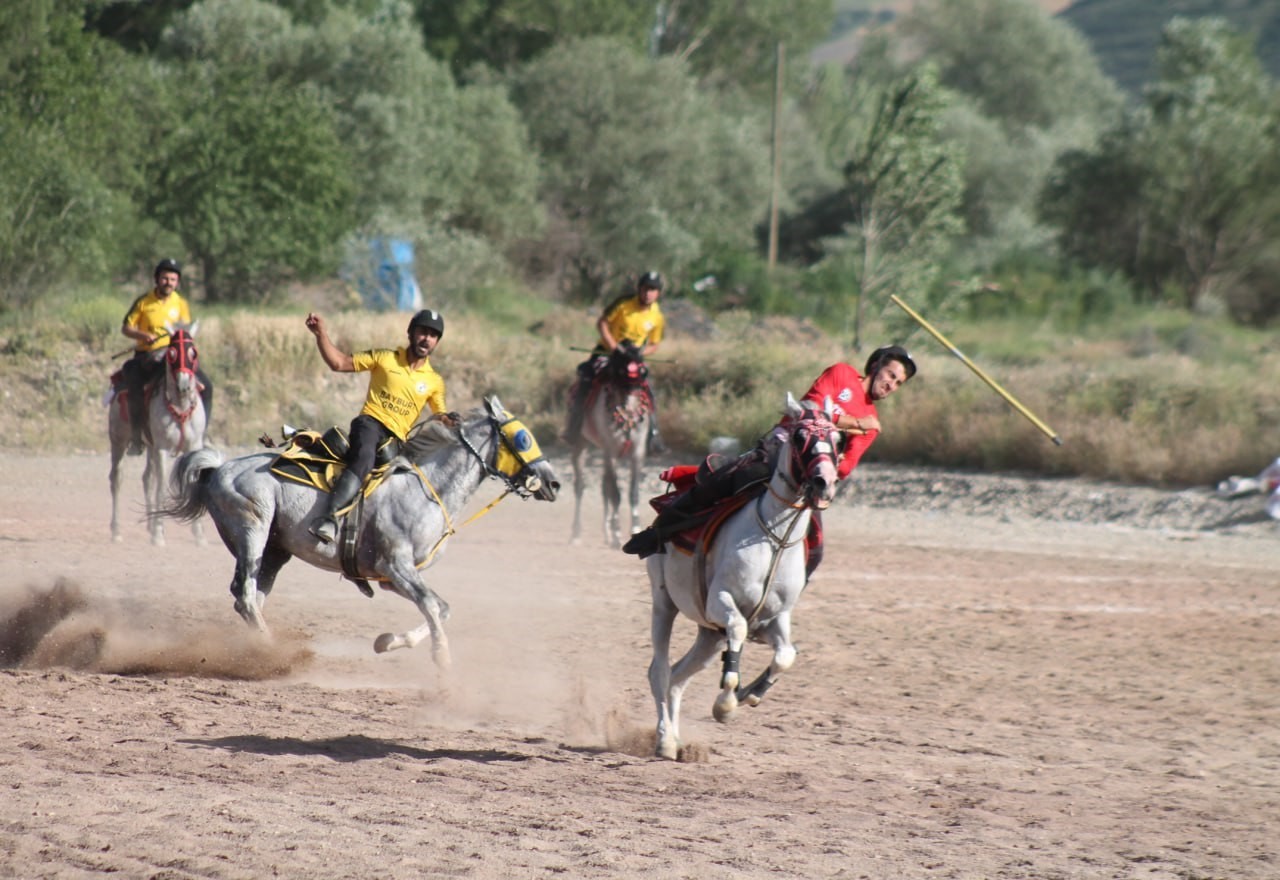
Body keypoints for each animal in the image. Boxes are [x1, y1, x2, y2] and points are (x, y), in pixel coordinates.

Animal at [107, 323, 206, 542]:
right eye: (172, 353)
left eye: (193, 352)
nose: (184, 385)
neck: (180, 407)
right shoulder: (162, 448)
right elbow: (161, 488)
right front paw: (159, 534)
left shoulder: (192, 446)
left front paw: (198, 534)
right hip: (119, 440)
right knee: (117, 478)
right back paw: (116, 531)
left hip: (150, 446)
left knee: (147, 479)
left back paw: (149, 525)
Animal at [162, 396, 558, 670]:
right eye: (523, 438)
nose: (553, 482)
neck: (427, 491)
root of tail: (219, 468)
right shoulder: (396, 565)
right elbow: (433, 605)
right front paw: (442, 657)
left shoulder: (392, 578)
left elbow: (441, 608)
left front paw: (388, 642)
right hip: (252, 533)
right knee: (244, 593)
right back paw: (274, 652)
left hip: (275, 550)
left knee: (250, 599)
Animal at [568, 345, 650, 547]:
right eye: (620, 369)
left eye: (642, 371)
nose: (627, 408)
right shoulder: (611, 452)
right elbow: (616, 494)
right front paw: (617, 533)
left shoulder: (637, 453)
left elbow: (632, 492)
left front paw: (634, 529)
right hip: (581, 445)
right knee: (580, 486)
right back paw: (576, 534)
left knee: (604, 487)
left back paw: (606, 533)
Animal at [645, 396, 844, 757]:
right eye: (799, 437)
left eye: (838, 440)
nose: (824, 481)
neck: (777, 538)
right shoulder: (721, 603)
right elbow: (736, 636)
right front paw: (725, 704)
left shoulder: (774, 619)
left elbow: (785, 655)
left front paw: (748, 695)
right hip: (663, 603)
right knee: (660, 672)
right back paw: (665, 740)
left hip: (709, 636)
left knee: (678, 676)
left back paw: (677, 740)